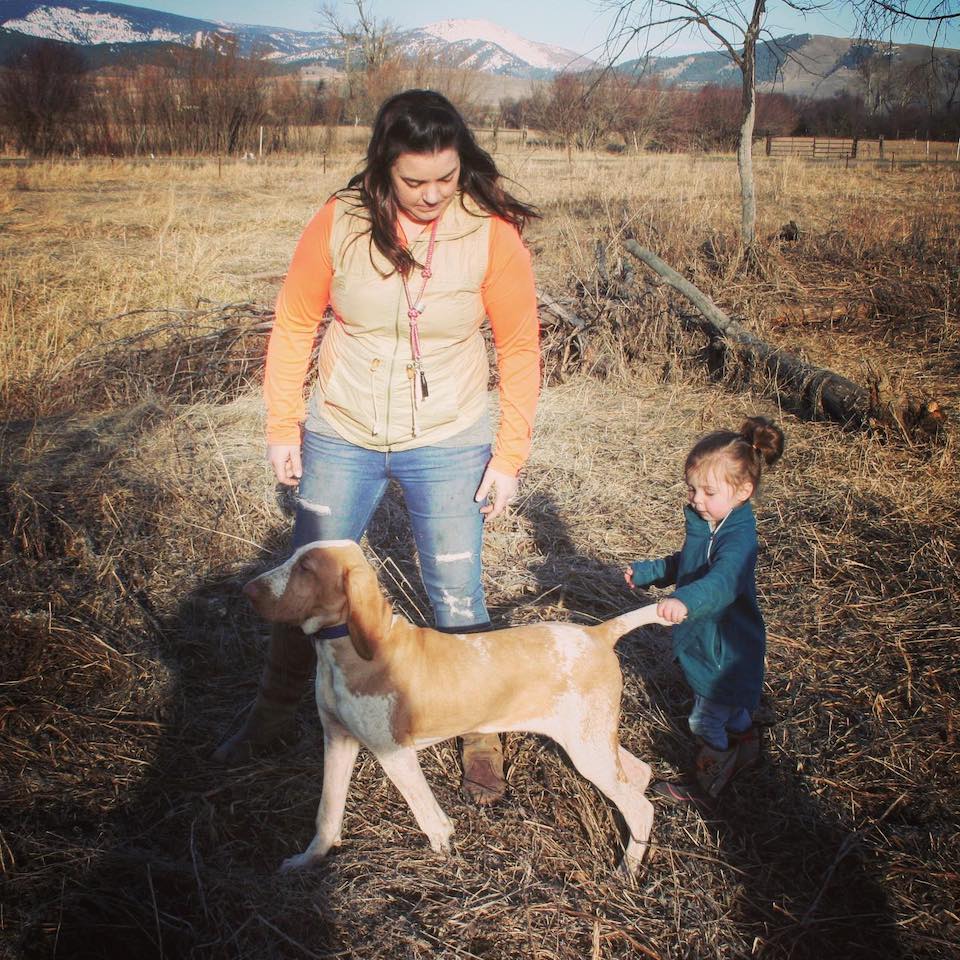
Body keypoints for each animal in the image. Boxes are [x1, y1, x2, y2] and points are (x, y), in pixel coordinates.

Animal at [244, 540, 672, 876]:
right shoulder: (338, 739)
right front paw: (307, 861)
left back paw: (627, 871)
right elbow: (327, 814)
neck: (346, 650)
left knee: (640, 807)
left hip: (587, 747)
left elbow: (430, 818)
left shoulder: (393, 752)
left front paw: (447, 862)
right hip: (591, 740)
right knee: (640, 774)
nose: (247, 591)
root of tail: (599, 634)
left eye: (306, 568)